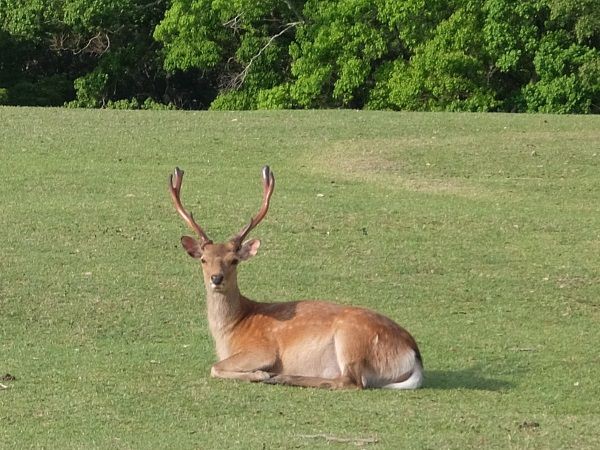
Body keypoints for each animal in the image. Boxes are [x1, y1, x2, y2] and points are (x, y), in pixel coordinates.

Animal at [166, 167, 424, 388]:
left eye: (234, 260)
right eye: (203, 259)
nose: (216, 278)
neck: (230, 331)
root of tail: (414, 355)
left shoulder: (262, 348)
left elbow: (215, 367)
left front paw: (260, 373)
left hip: (352, 340)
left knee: (350, 381)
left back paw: (281, 377)